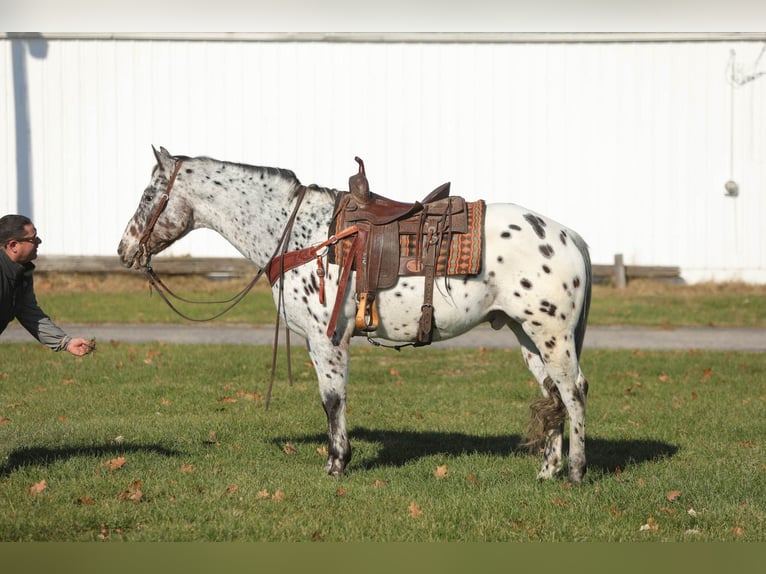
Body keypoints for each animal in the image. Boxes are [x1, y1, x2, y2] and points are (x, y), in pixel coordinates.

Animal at [118, 147, 592, 486]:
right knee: (551, 394)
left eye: (147, 196)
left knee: (573, 392)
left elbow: (332, 399)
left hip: (552, 335)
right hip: (527, 334)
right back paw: (547, 471)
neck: (302, 234)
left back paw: (575, 472)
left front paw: (336, 463)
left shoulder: (325, 338)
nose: (124, 249)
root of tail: (572, 236)